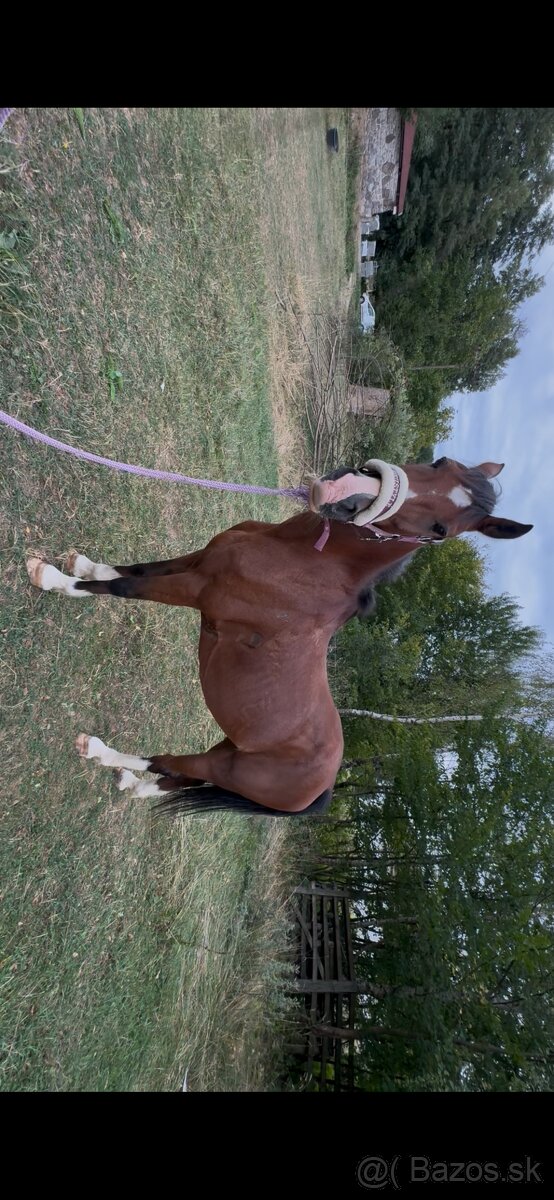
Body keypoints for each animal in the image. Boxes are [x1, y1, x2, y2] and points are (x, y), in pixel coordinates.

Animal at [26, 455, 532, 818]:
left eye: (440, 530)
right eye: (440, 461)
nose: (348, 493)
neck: (306, 565)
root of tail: (323, 786)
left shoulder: (197, 589)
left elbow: (124, 588)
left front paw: (52, 579)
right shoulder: (201, 561)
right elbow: (136, 569)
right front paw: (83, 564)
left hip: (226, 765)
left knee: (171, 765)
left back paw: (103, 755)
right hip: (228, 751)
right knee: (178, 775)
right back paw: (133, 784)